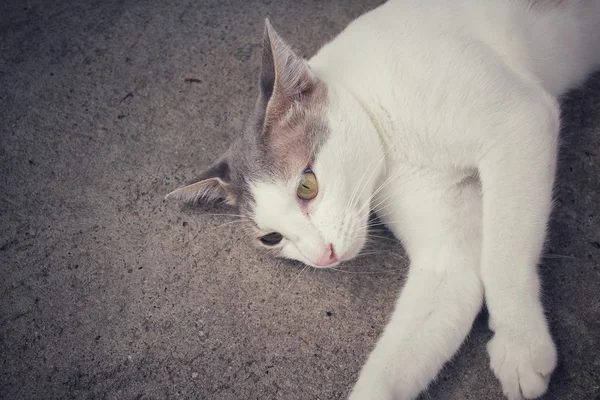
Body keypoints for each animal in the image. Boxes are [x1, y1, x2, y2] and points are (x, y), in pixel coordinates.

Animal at [165, 1, 600, 398]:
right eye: (271, 238)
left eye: (307, 186)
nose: (322, 256)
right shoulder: (446, 256)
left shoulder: (518, 122)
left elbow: (502, 256)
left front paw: (519, 343)